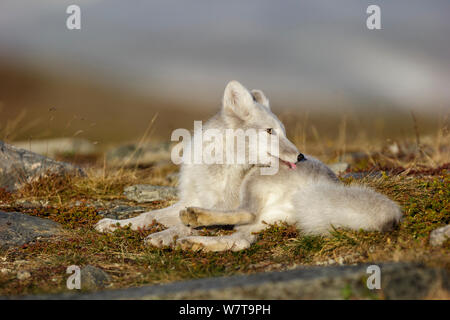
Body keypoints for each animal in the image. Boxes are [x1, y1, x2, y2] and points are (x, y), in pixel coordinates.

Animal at [96, 81, 404, 251]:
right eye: (270, 131)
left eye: (284, 132)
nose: (300, 157)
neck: (219, 162)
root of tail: (323, 187)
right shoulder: (190, 198)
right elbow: (148, 215)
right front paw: (116, 225)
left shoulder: (223, 202)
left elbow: (178, 222)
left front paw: (165, 234)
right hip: (261, 223)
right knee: (241, 241)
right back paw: (196, 243)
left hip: (254, 184)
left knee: (241, 215)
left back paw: (191, 225)